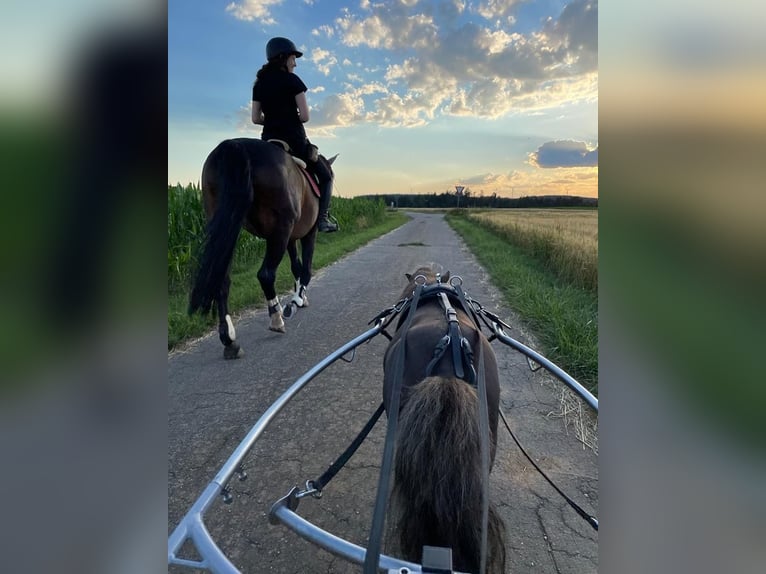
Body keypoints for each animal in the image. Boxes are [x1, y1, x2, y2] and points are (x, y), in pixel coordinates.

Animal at [188, 137, 336, 358]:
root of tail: (236, 145)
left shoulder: (290, 237)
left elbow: (296, 266)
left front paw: (299, 297)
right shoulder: (307, 233)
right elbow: (306, 269)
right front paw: (296, 300)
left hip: (228, 224)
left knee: (221, 277)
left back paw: (229, 339)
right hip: (280, 229)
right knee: (265, 274)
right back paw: (276, 318)